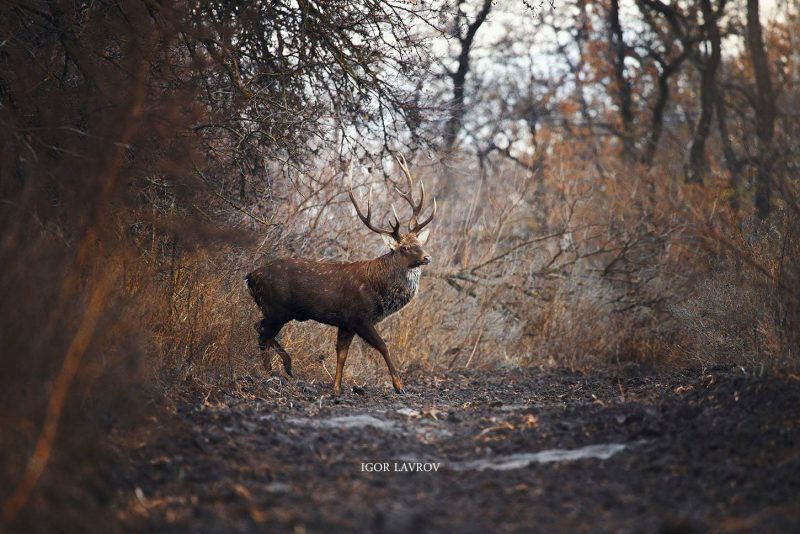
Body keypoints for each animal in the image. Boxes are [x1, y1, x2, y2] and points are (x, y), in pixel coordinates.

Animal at [244, 157, 434, 396]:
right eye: (405, 248)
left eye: (420, 243)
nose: (427, 257)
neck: (379, 289)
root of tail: (249, 277)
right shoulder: (359, 317)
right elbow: (383, 346)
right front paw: (398, 385)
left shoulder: (345, 323)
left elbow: (341, 354)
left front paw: (336, 388)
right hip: (276, 307)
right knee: (263, 334)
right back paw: (271, 372)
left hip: (275, 309)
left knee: (259, 329)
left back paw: (286, 366)